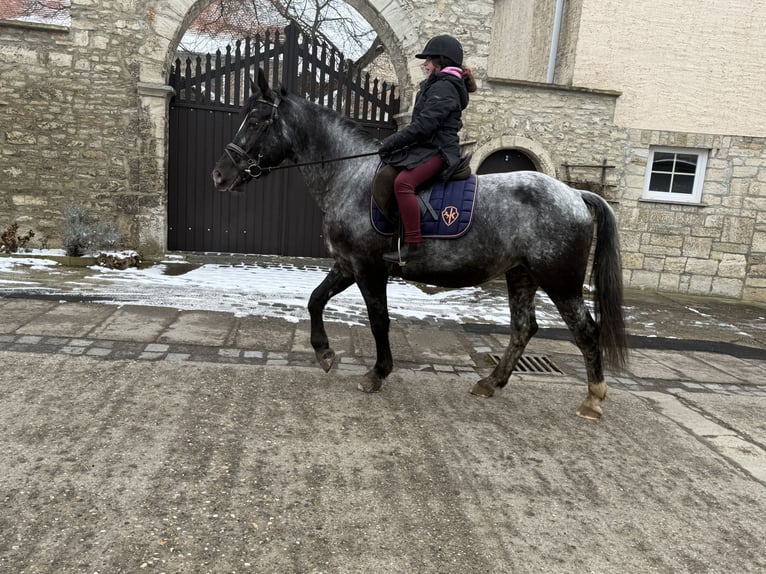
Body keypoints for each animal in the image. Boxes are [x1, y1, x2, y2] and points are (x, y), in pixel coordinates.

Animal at [212, 67, 632, 420]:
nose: (220, 174)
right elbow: (315, 300)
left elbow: (378, 320)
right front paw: (325, 353)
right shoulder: (347, 264)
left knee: (585, 332)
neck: (350, 175)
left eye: (256, 120)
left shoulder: (368, 268)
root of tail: (575, 194)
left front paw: (377, 373)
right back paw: (490, 383)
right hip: (521, 274)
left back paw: (593, 399)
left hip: (560, 281)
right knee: (523, 328)